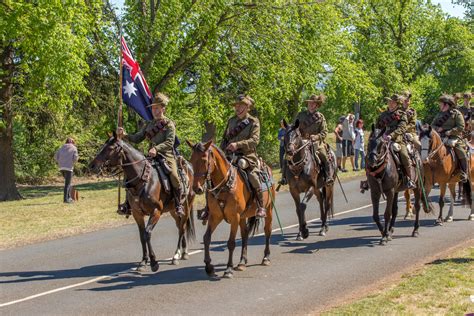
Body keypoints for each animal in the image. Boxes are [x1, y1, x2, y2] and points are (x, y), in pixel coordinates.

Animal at [90, 133, 195, 272]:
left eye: (110, 148)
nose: (92, 165)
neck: (143, 179)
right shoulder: (137, 213)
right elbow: (141, 236)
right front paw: (143, 261)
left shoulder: (156, 211)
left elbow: (147, 233)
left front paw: (154, 262)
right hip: (173, 210)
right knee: (179, 227)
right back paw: (184, 252)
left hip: (186, 207)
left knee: (182, 228)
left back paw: (176, 255)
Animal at [186, 139, 274, 278]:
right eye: (191, 160)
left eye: (204, 160)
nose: (197, 188)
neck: (225, 185)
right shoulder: (215, 216)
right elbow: (206, 239)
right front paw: (209, 267)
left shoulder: (234, 217)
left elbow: (231, 243)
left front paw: (228, 269)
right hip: (243, 216)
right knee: (245, 234)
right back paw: (242, 262)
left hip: (268, 209)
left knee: (267, 231)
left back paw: (266, 257)